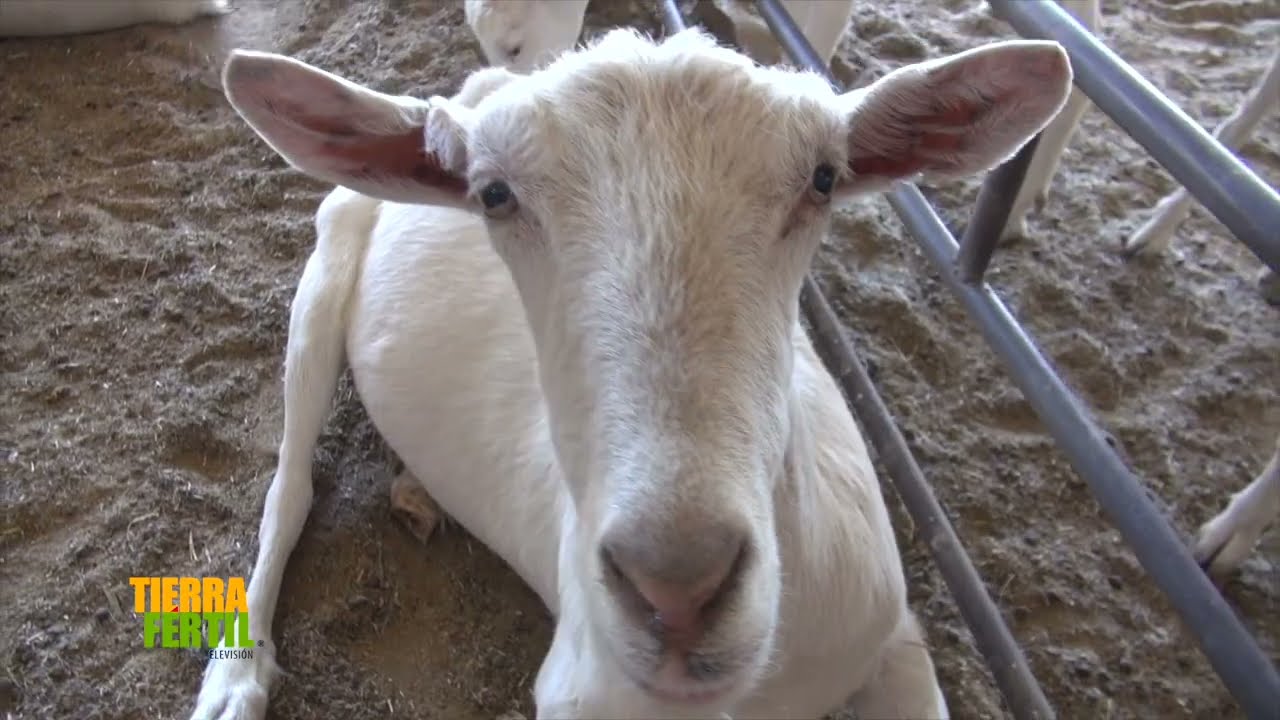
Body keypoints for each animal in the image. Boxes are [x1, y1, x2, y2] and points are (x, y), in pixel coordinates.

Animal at [192, 26, 1072, 720]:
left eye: (824, 178)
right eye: (494, 194)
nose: (677, 593)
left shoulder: (894, 639)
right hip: (324, 268)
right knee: (290, 488)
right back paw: (236, 681)